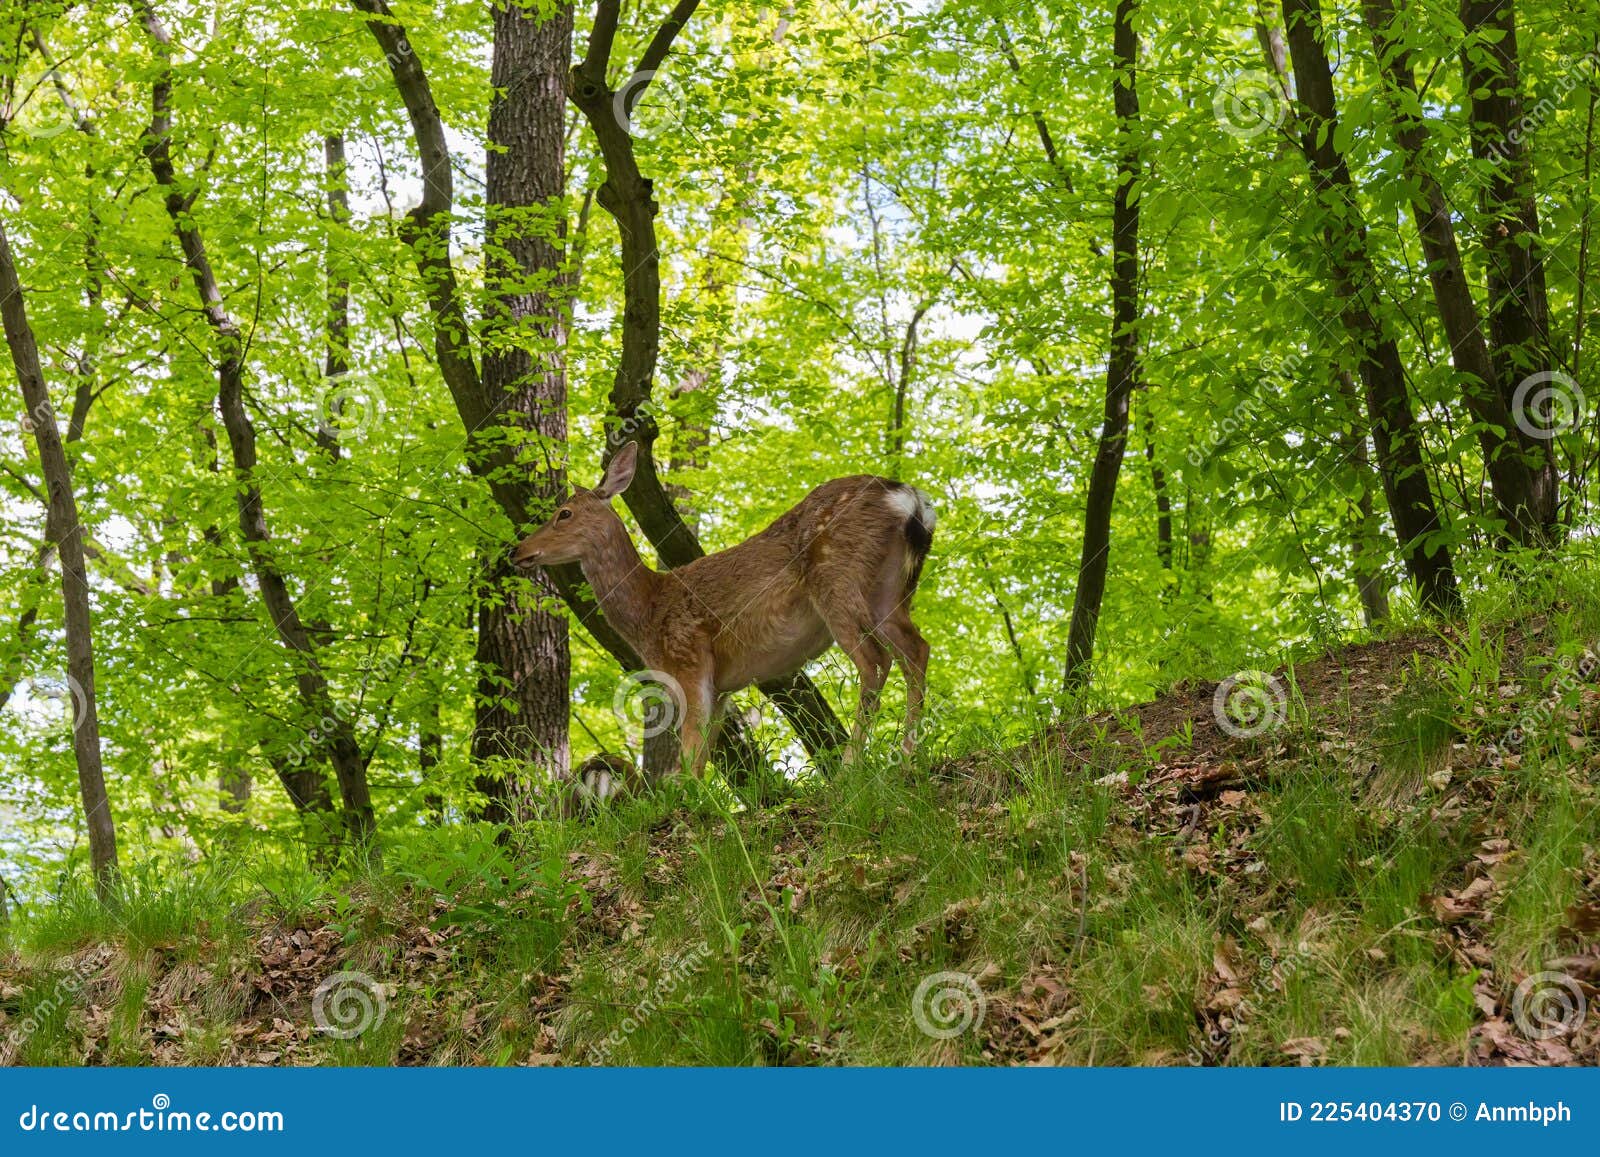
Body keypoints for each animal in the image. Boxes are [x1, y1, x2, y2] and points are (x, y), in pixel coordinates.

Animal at [512, 441, 934, 778]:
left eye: (564, 513)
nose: (518, 550)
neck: (647, 609)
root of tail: (911, 501)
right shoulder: (723, 686)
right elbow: (701, 757)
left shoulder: (689, 657)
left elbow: (687, 753)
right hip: (892, 590)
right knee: (917, 650)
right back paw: (907, 758)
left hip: (837, 579)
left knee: (875, 660)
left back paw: (852, 766)